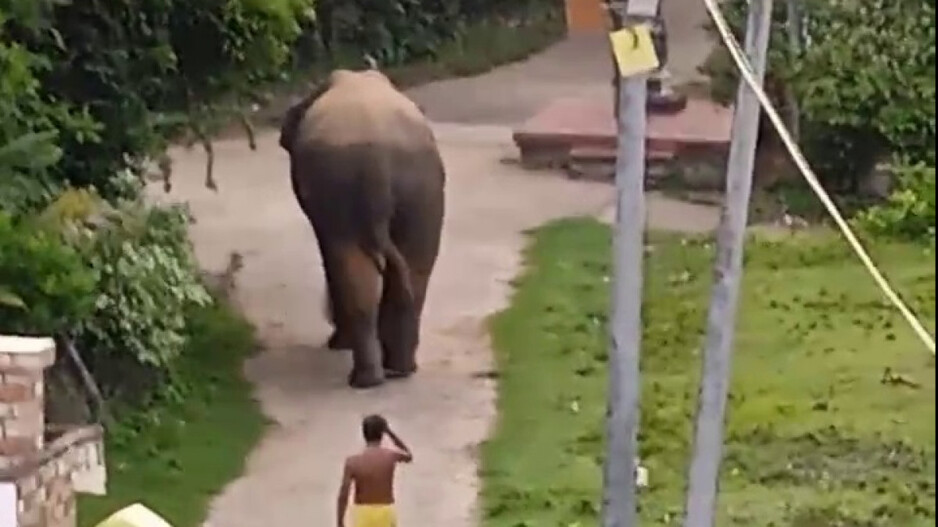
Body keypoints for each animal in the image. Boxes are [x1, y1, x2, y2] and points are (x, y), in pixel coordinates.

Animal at [279, 69, 446, 389]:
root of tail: (378, 162)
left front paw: (337, 345)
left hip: (346, 186)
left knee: (350, 267)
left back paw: (364, 379)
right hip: (422, 189)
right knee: (416, 269)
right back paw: (400, 369)